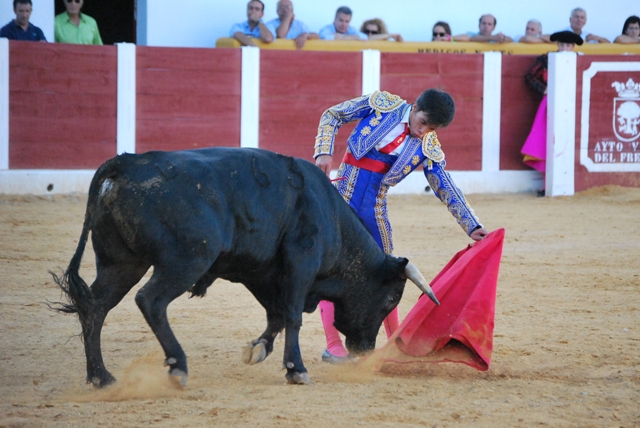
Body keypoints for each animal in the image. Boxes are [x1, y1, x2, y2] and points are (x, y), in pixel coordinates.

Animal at [53, 147, 440, 384]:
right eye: (390, 300)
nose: (365, 350)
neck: (330, 215)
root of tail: (126, 163)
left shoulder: (261, 272)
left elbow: (278, 315)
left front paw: (258, 350)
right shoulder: (301, 262)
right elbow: (293, 315)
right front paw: (296, 369)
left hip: (121, 263)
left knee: (95, 307)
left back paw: (101, 377)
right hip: (186, 260)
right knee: (150, 301)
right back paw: (177, 365)